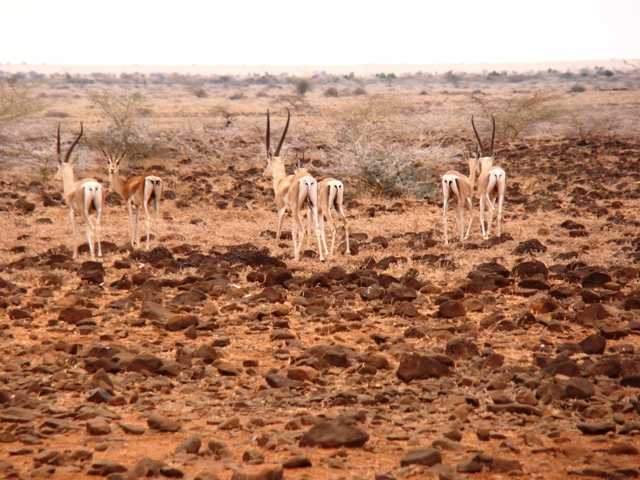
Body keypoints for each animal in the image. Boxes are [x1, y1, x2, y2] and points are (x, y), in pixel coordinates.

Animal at [54, 123, 103, 261]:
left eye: (57, 167)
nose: (56, 177)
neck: (72, 186)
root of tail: (92, 186)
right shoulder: (91, 214)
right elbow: (87, 232)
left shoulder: (72, 213)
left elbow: (76, 232)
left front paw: (74, 255)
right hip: (98, 211)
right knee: (97, 227)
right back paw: (99, 254)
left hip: (84, 213)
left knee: (92, 228)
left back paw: (93, 258)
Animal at [262, 109, 324, 261]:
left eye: (267, 161)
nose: (264, 174)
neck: (281, 182)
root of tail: (307, 179)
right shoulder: (293, 213)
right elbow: (293, 232)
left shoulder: (282, 211)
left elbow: (279, 231)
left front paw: (274, 253)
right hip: (312, 207)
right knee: (317, 229)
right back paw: (321, 257)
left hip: (297, 210)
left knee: (303, 231)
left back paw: (296, 258)